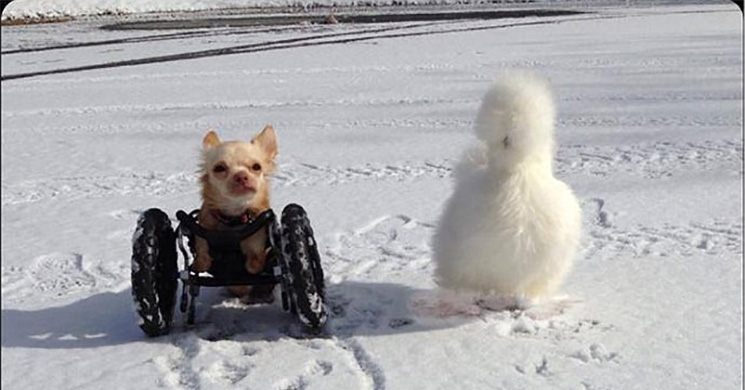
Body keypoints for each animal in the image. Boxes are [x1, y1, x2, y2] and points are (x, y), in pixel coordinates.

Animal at [193, 125, 278, 296]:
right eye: (219, 168)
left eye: (256, 167)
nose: (241, 176)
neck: (233, 219)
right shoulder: (203, 231)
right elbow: (201, 254)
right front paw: (199, 262)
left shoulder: (257, 244)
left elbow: (254, 264)